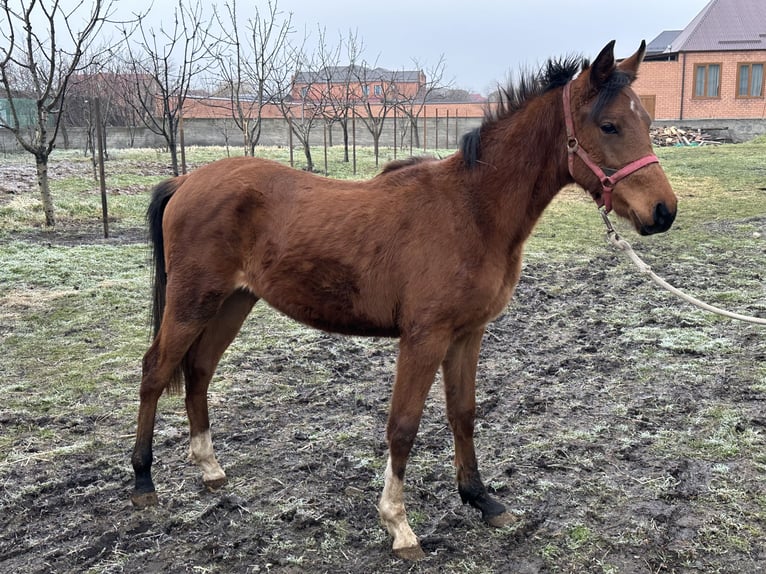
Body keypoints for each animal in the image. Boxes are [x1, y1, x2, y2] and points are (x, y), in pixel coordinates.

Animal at [130, 40, 677, 559]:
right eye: (608, 125)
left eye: (647, 121)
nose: (663, 211)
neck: (472, 210)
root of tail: (186, 180)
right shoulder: (424, 337)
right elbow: (404, 426)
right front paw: (399, 525)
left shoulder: (467, 333)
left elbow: (463, 413)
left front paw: (481, 499)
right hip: (192, 301)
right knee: (157, 370)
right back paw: (143, 481)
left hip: (232, 302)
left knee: (199, 370)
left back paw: (210, 469)